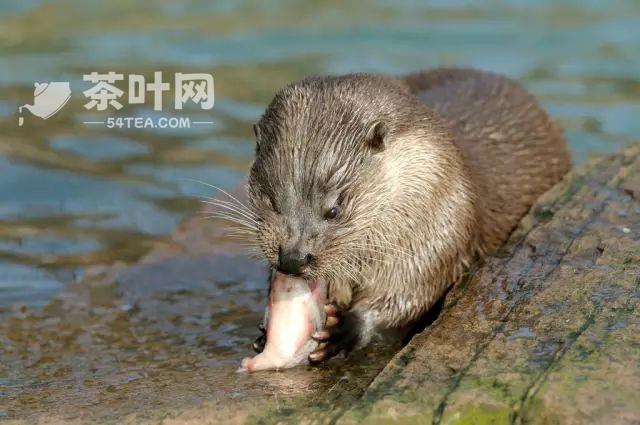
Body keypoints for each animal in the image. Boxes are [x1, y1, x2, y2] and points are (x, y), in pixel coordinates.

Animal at [244, 68, 568, 360]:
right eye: (271, 201)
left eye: (334, 210)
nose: (292, 258)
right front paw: (264, 332)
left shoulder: (439, 226)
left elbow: (411, 291)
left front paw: (347, 327)